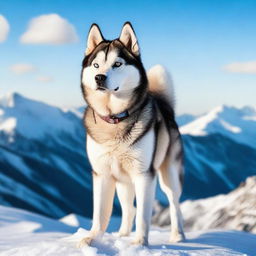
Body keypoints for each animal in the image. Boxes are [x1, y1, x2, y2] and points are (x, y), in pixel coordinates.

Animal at [79, 22, 185, 248]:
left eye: (117, 64)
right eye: (96, 65)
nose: (99, 78)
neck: (114, 119)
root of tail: (166, 108)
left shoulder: (144, 174)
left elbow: (144, 216)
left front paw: (139, 244)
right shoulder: (101, 173)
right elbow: (100, 213)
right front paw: (92, 238)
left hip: (169, 175)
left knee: (175, 204)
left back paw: (178, 236)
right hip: (122, 181)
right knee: (129, 208)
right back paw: (122, 235)